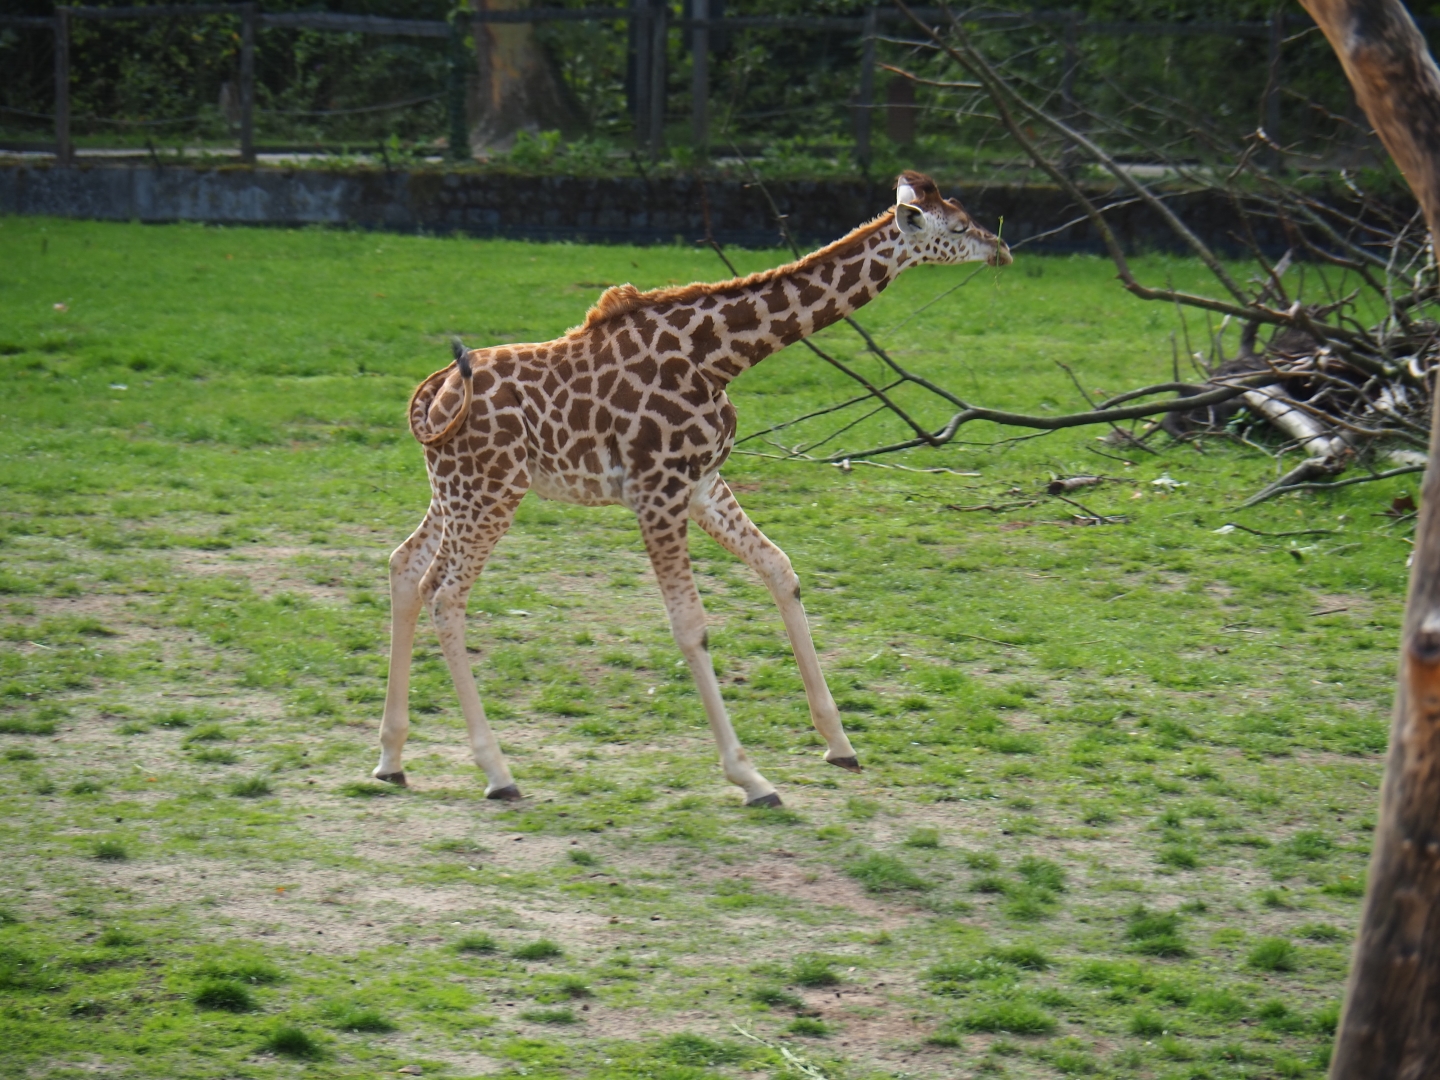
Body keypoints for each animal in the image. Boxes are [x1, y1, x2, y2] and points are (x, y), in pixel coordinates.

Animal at [376, 170, 1011, 806]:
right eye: (958, 227)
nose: (1001, 248)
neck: (720, 358)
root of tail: (432, 391)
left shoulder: (703, 483)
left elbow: (781, 569)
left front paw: (839, 743)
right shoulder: (657, 491)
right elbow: (691, 624)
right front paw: (751, 778)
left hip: (457, 490)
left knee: (406, 567)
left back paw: (391, 758)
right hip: (490, 491)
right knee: (446, 596)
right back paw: (497, 772)